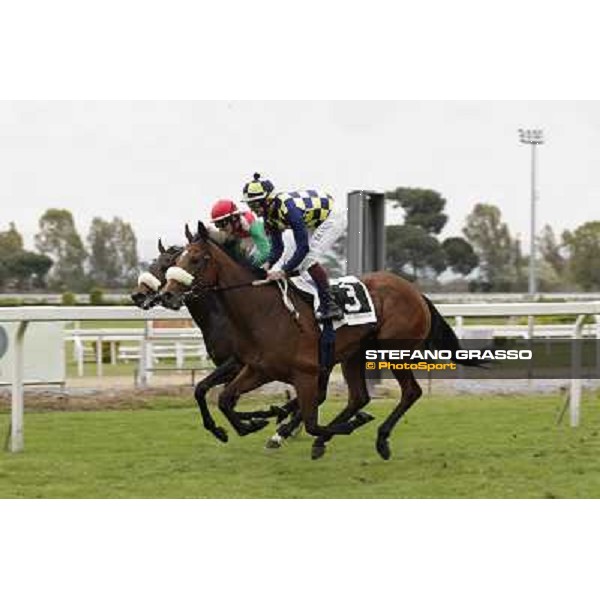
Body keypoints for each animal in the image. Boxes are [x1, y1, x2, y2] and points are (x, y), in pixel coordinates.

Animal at [161, 221, 482, 460]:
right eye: (176, 260)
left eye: (196, 259)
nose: (167, 293)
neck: (264, 312)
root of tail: (415, 291)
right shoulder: (257, 369)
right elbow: (223, 398)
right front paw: (245, 425)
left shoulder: (304, 373)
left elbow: (313, 421)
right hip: (355, 354)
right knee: (359, 397)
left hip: (393, 352)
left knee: (411, 392)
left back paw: (380, 439)